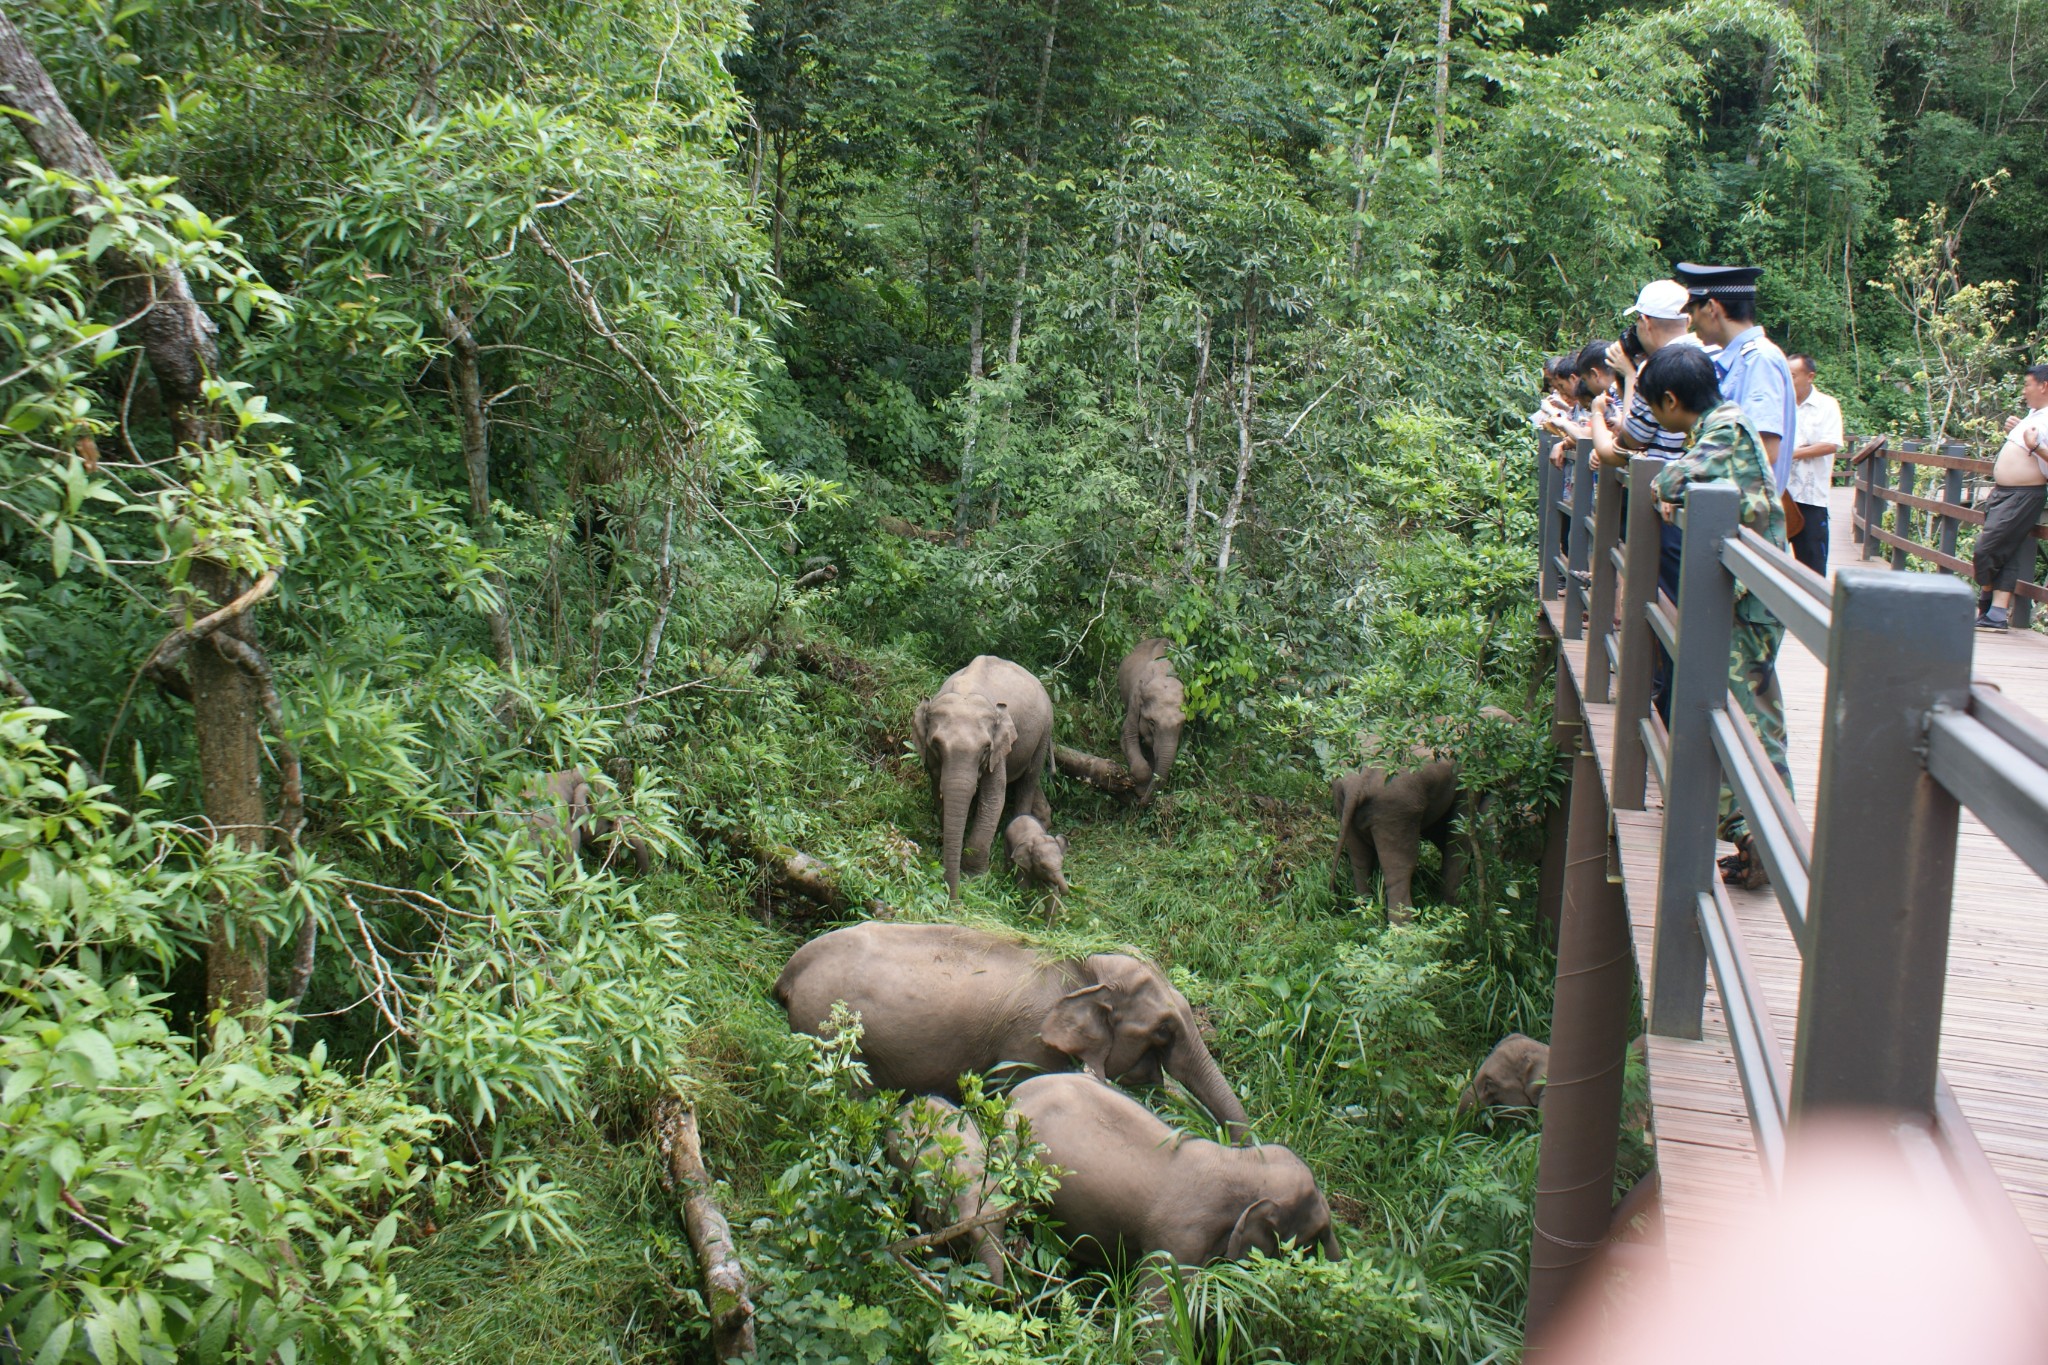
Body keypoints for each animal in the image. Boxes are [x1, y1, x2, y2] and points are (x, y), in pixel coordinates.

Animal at [921, 654, 1064, 900]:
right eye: (936, 744)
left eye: (986, 748)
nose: (954, 899)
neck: (965, 692)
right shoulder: (932, 760)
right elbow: (938, 791)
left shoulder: (999, 748)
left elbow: (995, 798)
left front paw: (973, 877)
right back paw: (1043, 820)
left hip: (1045, 728)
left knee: (1029, 779)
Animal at [1122, 638, 1187, 806]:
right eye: (1152, 723)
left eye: (1181, 724)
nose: (1140, 803)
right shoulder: (1134, 700)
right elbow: (1128, 734)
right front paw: (1141, 791)